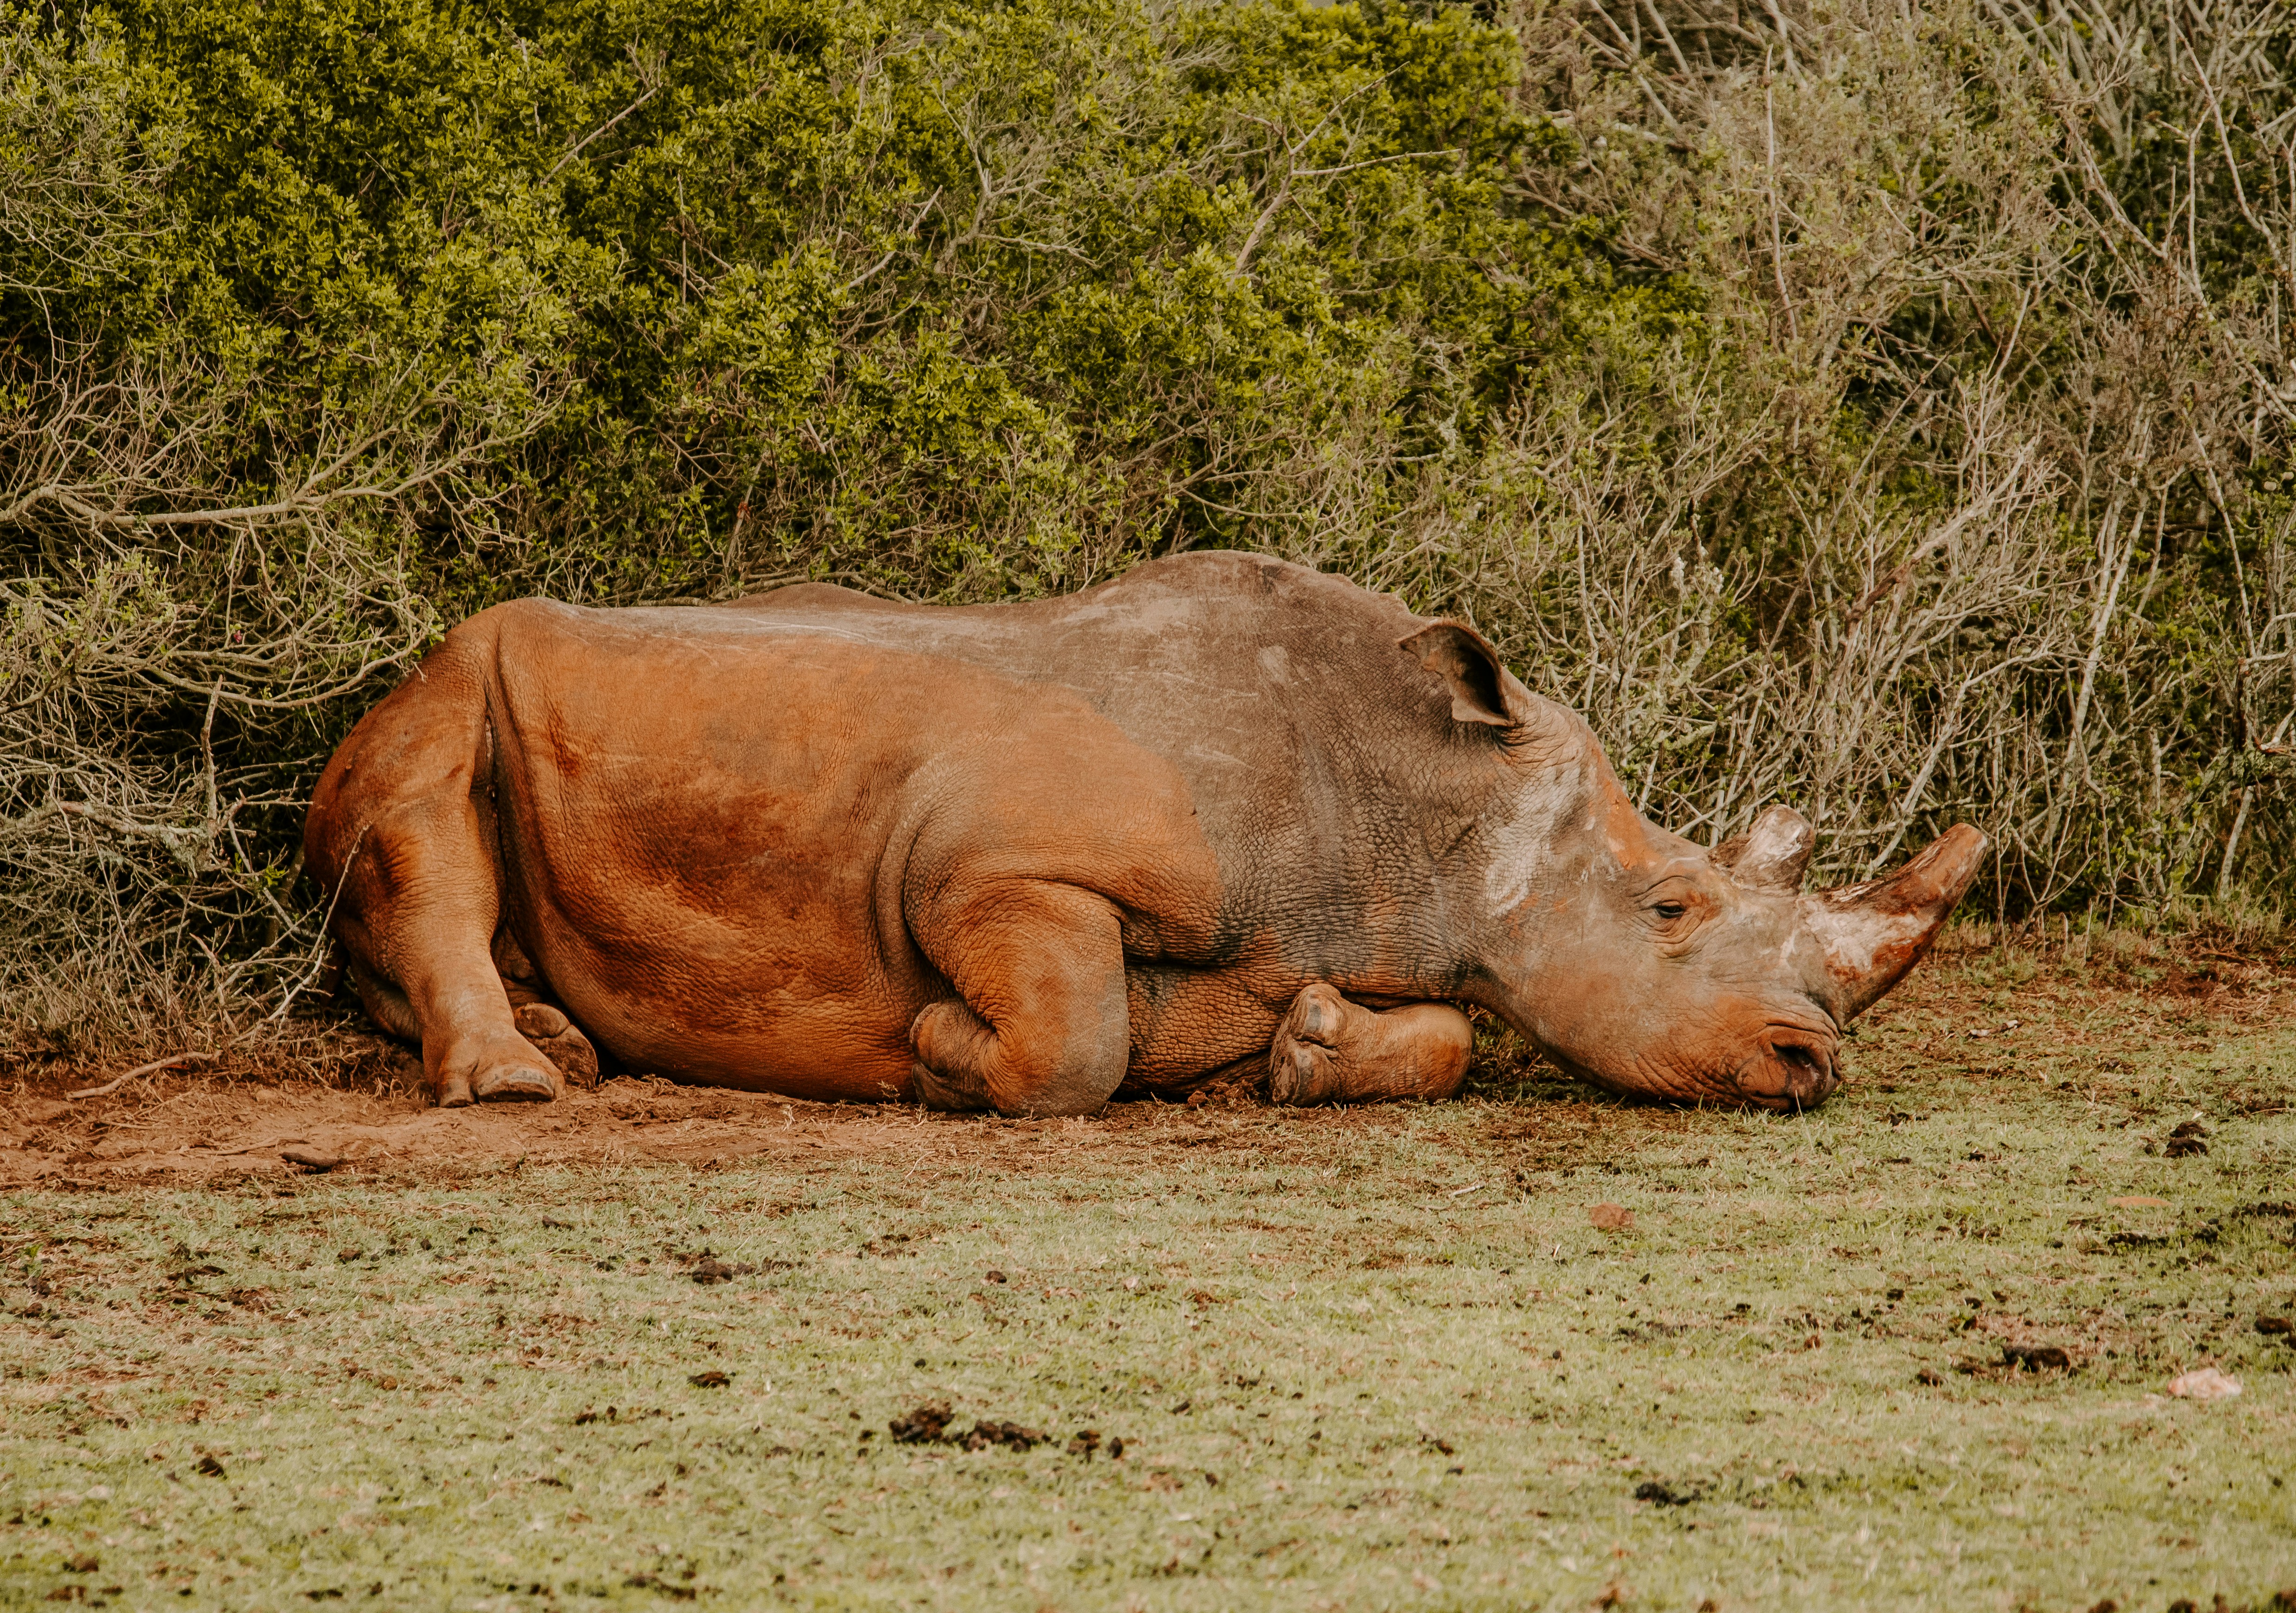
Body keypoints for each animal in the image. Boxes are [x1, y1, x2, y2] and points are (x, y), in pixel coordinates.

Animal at [304, 553, 1985, 1114]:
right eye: (1669, 909)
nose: (1809, 1064)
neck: (1421, 797)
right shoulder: (998, 868)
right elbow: (1074, 1040)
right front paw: (933, 1049)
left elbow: (1442, 1030)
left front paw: (1305, 1054)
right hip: (445, 679)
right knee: (423, 800)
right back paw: (521, 1083)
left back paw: (560, 1045)